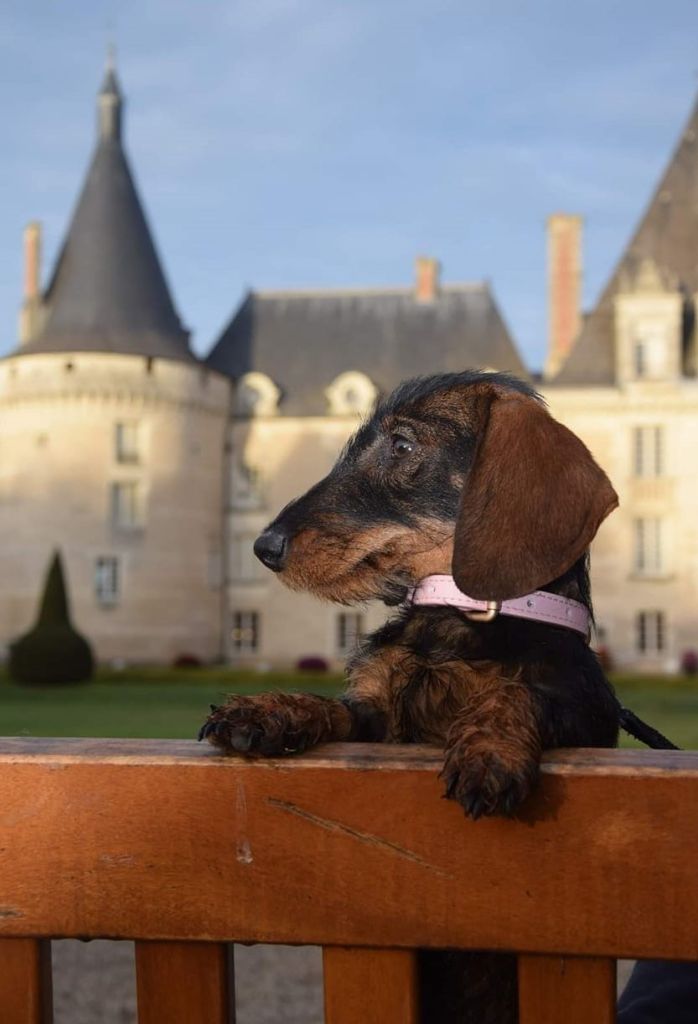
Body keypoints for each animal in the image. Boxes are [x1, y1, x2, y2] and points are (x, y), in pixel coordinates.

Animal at [199, 372, 618, 1019]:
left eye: (401, 446)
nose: (264, 547)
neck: (458, 611)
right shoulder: (377, 719)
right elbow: (335, 707)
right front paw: (267, 710)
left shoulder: (586, 713)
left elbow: (517, 693)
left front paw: (488, 750)